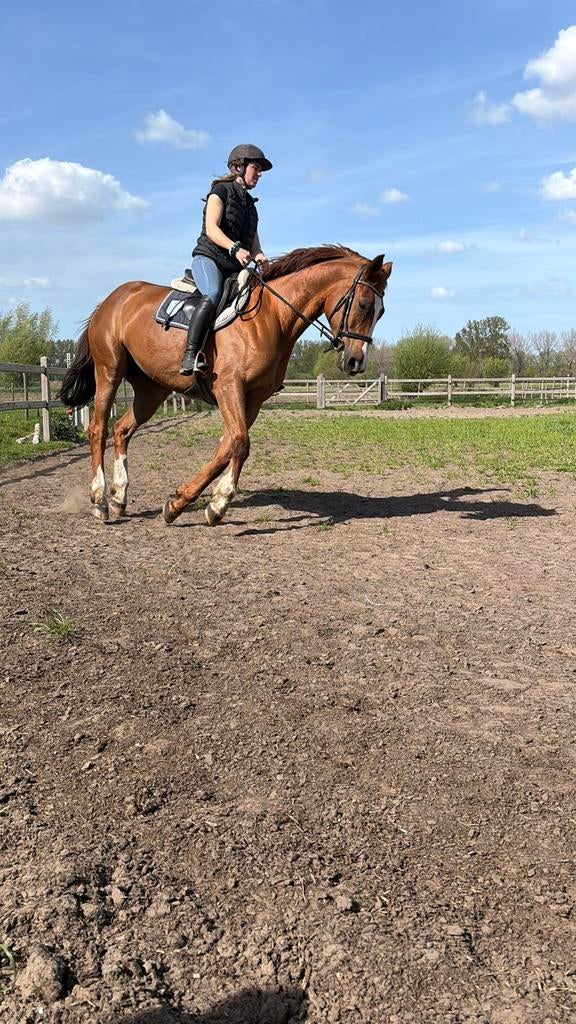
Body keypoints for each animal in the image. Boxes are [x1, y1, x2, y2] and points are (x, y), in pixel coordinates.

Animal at [59, 245, 392, 526]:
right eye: (364, 304)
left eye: (382, 312)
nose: (355, 362)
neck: (272, 317)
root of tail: (112, 299)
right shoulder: (228, 388)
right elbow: (240, 443)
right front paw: (216, 505)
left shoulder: (253, 398)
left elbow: (227, 448)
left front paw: (187, 503)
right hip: (109, 371)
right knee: (99, 429)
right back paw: (100, 500)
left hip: (152, 389)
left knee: (122, 430)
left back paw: (119, 498)